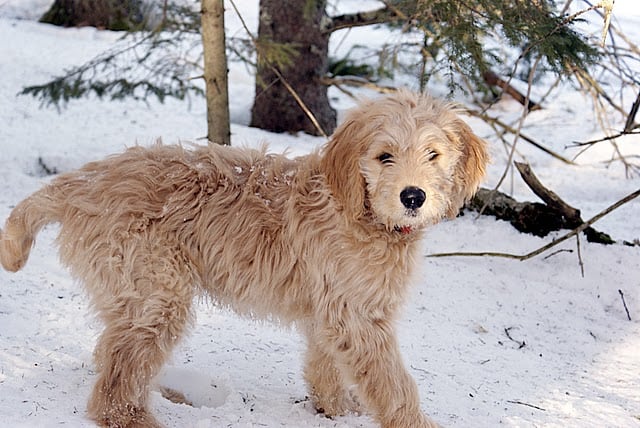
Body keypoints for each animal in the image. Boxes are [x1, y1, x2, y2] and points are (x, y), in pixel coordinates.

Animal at [0, 91, 488, 428]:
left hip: (129, 293)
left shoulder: (330, 310)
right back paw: (134, 416)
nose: (413, 196)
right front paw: (412, 421)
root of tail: (86, 182)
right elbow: (393, 382)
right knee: (116, 380)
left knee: (110, 353)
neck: (357, 209)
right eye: (384, 156)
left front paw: (334, 408)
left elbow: (325, 364)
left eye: (433, 154)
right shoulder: (358, 317)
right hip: (156, 293)